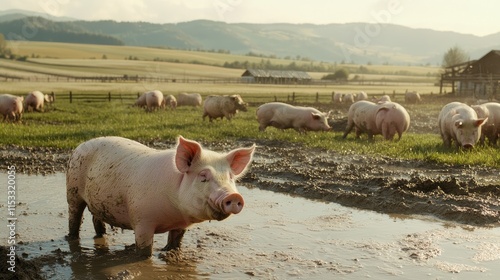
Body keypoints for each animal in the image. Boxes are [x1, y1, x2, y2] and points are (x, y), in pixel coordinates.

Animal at [66, 137, 256, 258]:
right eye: (203, 176)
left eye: (230, 177)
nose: (233, 195)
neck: (174, 213)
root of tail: (81, 145)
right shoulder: (142, 220)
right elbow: (144, 250)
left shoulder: (180, 226)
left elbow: (175, 242)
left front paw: (169, 252)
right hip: (72, 190)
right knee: (74, 217)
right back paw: (72, 239)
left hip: (97, 200)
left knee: (96, 218)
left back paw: (101, 235)